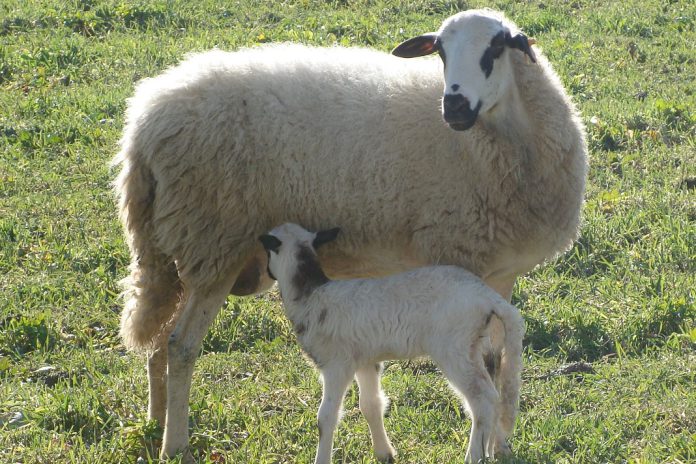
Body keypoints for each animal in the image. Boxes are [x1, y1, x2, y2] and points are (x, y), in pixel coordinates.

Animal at [258, 223, 524, 462]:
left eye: (268, 251)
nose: (267, 274)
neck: (310, 294)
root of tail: (487, 297)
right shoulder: (364, 360)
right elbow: (371, 404)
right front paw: (384, 453)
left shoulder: (336, 364)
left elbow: (326, 418)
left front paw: (322, 458)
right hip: (473, 344)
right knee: (493, 397)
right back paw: (488, 450)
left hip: (452, 347)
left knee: (482, 398)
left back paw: (474, 456)